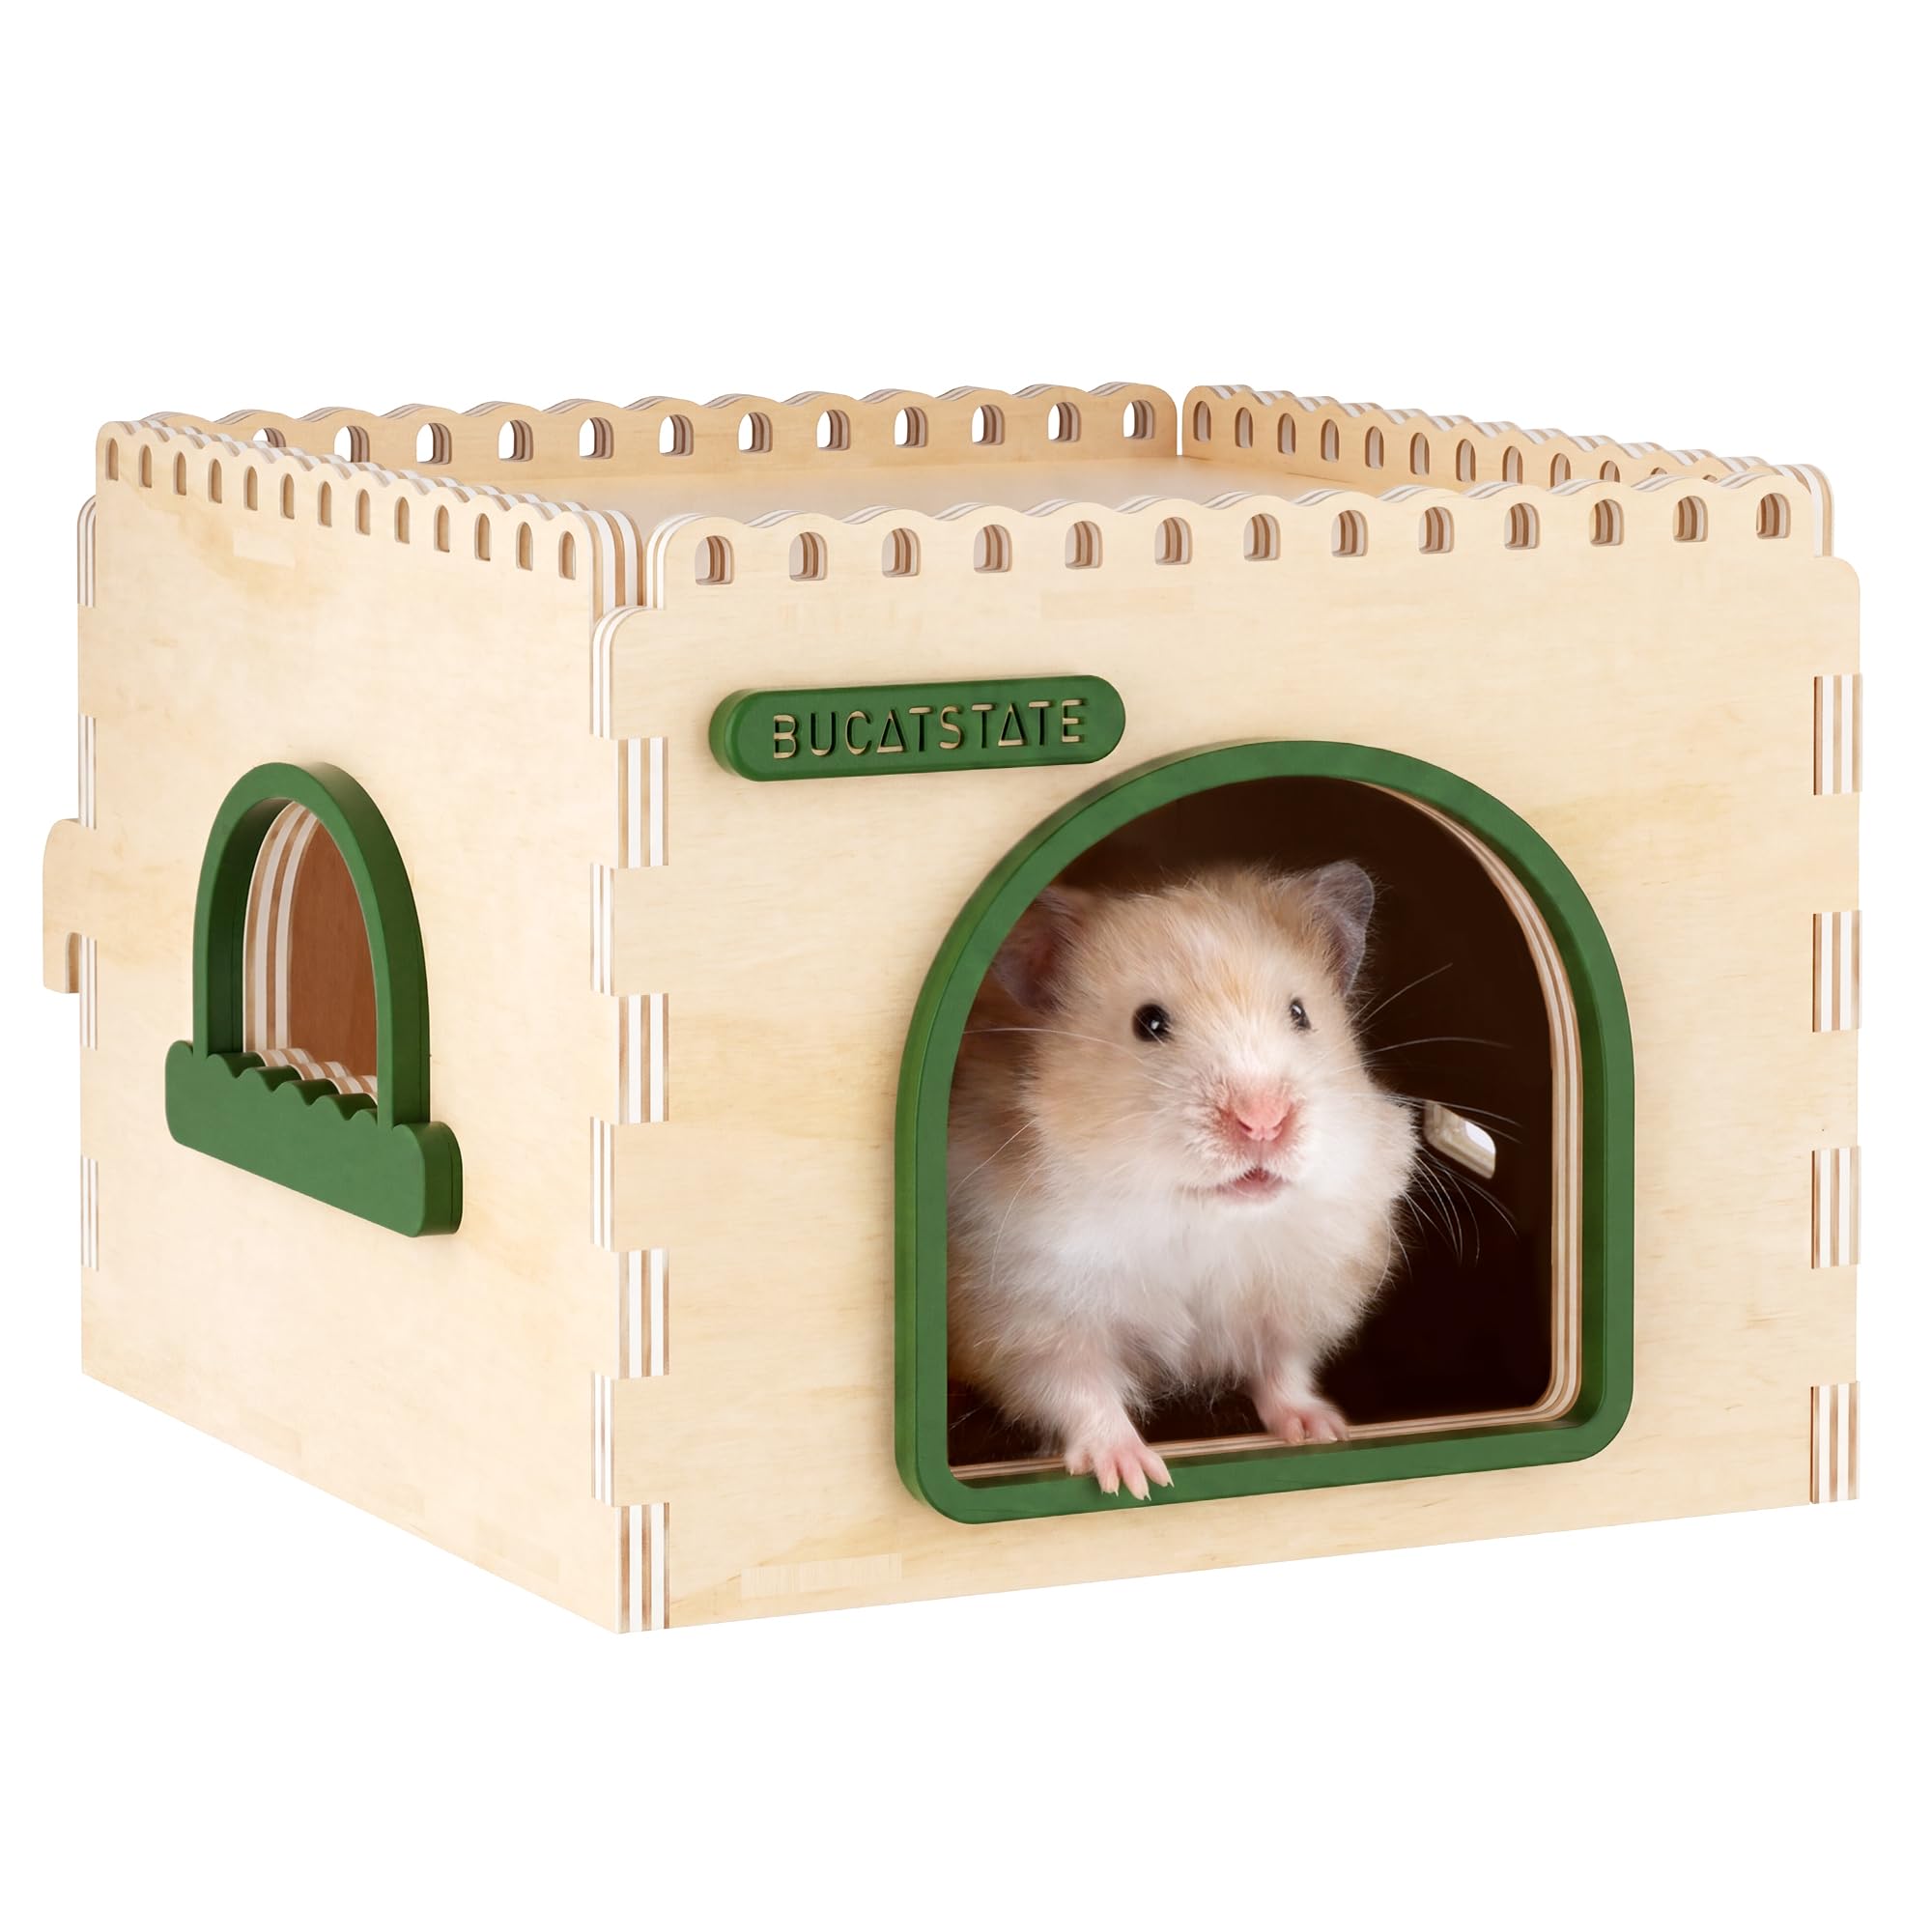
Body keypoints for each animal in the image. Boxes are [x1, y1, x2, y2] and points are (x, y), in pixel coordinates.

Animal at [946, 863, 1417, 1498]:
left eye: (1300, 1014)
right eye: (1149, 1023)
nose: (1263, 1122)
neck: (1196, 1212)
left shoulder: (1294, 1295)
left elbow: (1283, 1367)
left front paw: (1324, 1430)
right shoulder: (1031, 1318)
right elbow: (1080, 1390)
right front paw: (1135, 1477)